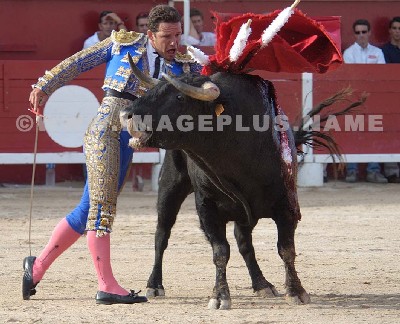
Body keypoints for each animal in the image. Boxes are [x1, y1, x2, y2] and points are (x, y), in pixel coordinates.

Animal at [120, 57, 360, 308]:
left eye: (179, 97)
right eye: (153, 90)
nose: (126, 114)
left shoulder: (287, 206)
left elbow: (286, 249)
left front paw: (296, 291)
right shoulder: (206, 207)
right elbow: (220, 251)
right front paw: (219, 296)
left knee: (244, 242)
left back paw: (262, 284)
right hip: (170, 185)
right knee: (162, 234)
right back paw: (154, 284)